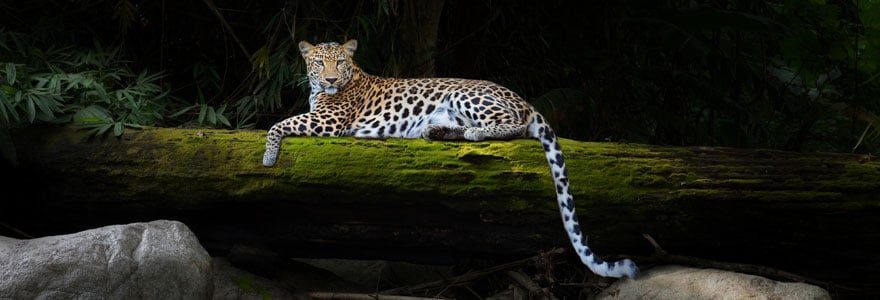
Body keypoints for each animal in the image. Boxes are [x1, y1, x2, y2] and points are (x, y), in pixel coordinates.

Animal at [262, 39, 640, 278]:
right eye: (319, 62)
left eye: (339, 62)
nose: (329, 78)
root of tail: (525, 100)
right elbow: (282, 120)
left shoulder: (327, 121)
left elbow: (277, 123)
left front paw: (267, 155)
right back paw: (438, 132)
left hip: (465, 94)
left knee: (513, 126)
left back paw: (473, 133)